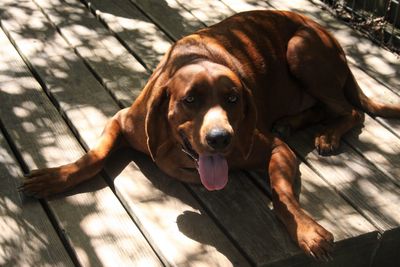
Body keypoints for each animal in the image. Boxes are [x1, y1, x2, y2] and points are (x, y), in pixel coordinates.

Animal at [20, 11, 400, 262]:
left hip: (300, 50)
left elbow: (282, 194)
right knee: (327, 108)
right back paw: (293, 121)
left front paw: (306, 230)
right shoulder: (123, 120)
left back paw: (328, 136)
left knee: (352, 111)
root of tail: (331, 36)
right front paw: (52, 178)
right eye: (190, 100)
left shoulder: (274, 150)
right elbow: (92, 157)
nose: (220, 138)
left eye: (233, 99)